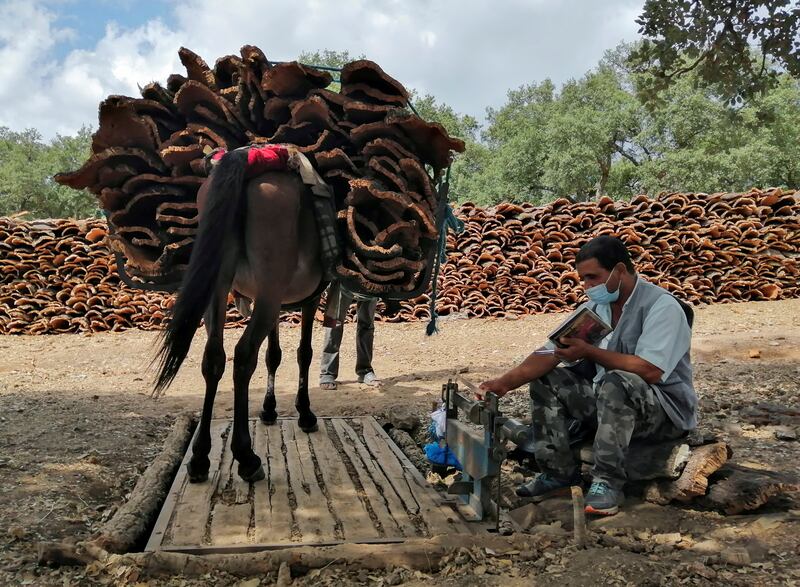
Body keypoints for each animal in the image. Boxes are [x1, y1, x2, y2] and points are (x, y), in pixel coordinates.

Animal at [152, 149, 326, 484]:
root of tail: (243, 158)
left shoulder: (272, 302)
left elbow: (274, 354)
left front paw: (269, 410)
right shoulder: (307, 299)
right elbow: (303, 353)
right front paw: (305, 413)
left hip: (221, 289)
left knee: (213, 358)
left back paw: (200, 458)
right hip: (269, 291)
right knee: (244, 356)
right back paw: (246, 457)